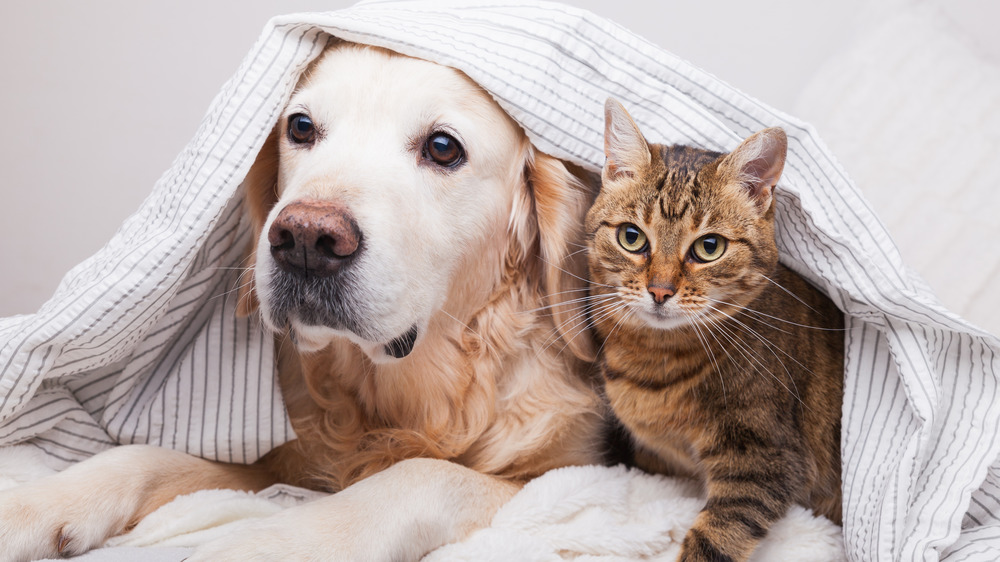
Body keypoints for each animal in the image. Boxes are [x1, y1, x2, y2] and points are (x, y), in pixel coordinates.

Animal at [0, 42, 600, 560]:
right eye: (302, 127)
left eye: (443, 147)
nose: (307, 240)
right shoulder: (281, 463)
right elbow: (142, 456)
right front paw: (35, 506)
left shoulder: (572, 474)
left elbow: (424, 474)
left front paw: (278, 544)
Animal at [588, 98, 848, 556]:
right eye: (632, 237)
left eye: (709, 247)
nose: (660, 290)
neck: (654, 360)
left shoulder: (764, 457)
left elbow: (714, 539)